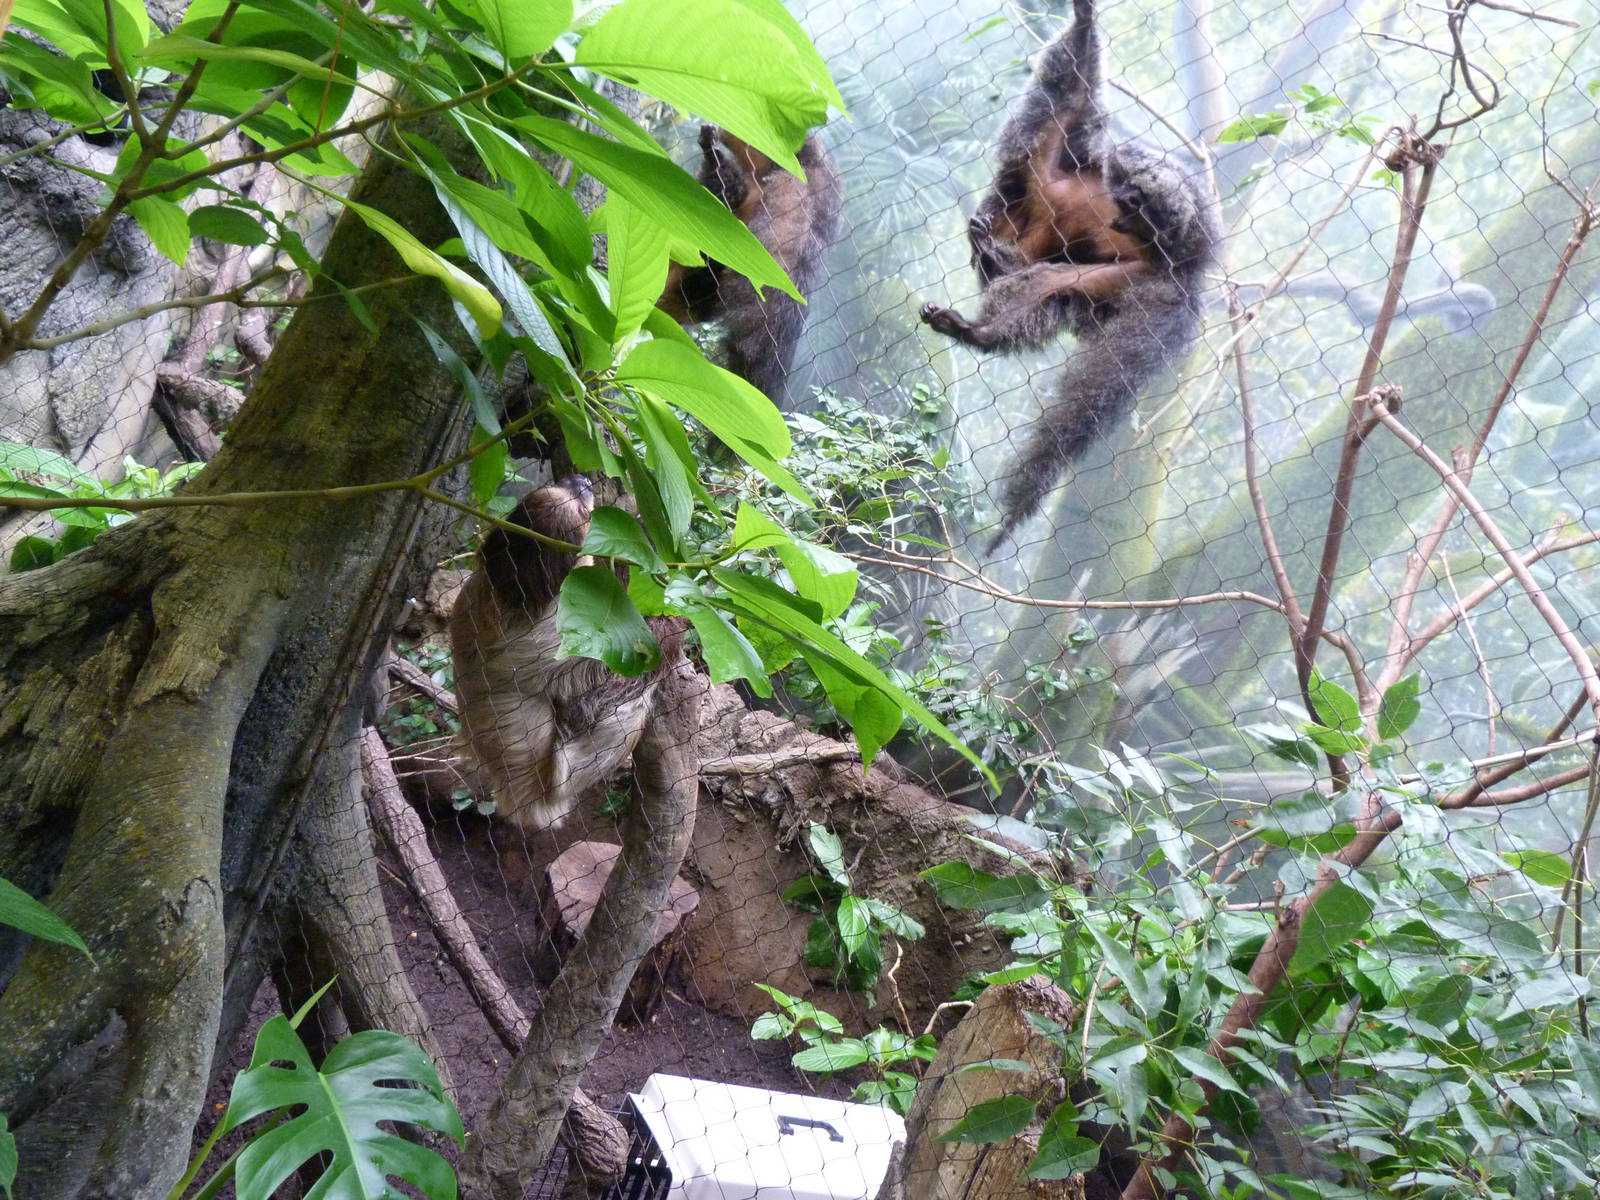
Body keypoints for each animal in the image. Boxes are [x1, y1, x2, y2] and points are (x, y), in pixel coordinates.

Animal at [448, 476, 687, 831]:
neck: (510, 591)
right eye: (583, 513)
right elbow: (599, 669)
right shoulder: (544, 637)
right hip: (565, 768)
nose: (582, 480)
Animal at [919, 0, 1219, 552]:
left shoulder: (1168, 293)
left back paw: (981, 320)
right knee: (1069, 94)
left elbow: (1093, 392)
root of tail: (1029, 231)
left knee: (1047, 286)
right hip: (1041, 180)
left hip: (1119, 277)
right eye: (1124, 206)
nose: (1125, 208)